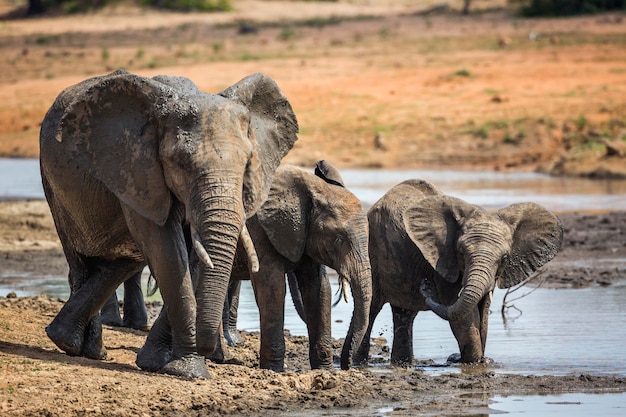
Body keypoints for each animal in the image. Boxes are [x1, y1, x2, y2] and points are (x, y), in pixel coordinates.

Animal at [39, 69, 298, 376]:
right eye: (180, 163)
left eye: (248, 162)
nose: (214, 352)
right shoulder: (138, 169)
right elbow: (169, 254)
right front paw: (188, 370)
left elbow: (193, 258)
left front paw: (158, 362)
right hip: (54, 186)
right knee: (81, 259)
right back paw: (74, 346)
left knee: (123, 262)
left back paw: (83, 346)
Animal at [224, 160, 370, 370]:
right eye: (339, 239)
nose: (345, 365)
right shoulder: (258, 231)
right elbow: (272, 287)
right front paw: (274, 370)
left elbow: (319, 288)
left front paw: (323, 369)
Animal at [354, 177, 564, 366]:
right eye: (461, 252)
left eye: (504, 258)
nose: (425, 287)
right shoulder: (442, 261)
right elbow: (461, 312)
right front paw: (474, 363)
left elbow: (483, 310)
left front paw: (482, 361)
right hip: (371, 252)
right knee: (372, 308)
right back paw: (359, 363)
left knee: (405, 314)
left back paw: (402, 364)